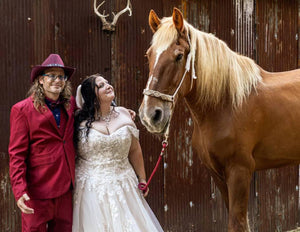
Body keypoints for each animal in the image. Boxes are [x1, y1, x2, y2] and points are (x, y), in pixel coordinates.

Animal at [139, 7, 300, 232]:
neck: (226, 105)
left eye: (179, 56)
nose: (150, 115)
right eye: (149, 55)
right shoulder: (218, 174)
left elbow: (236, 223)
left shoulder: (240, 171)